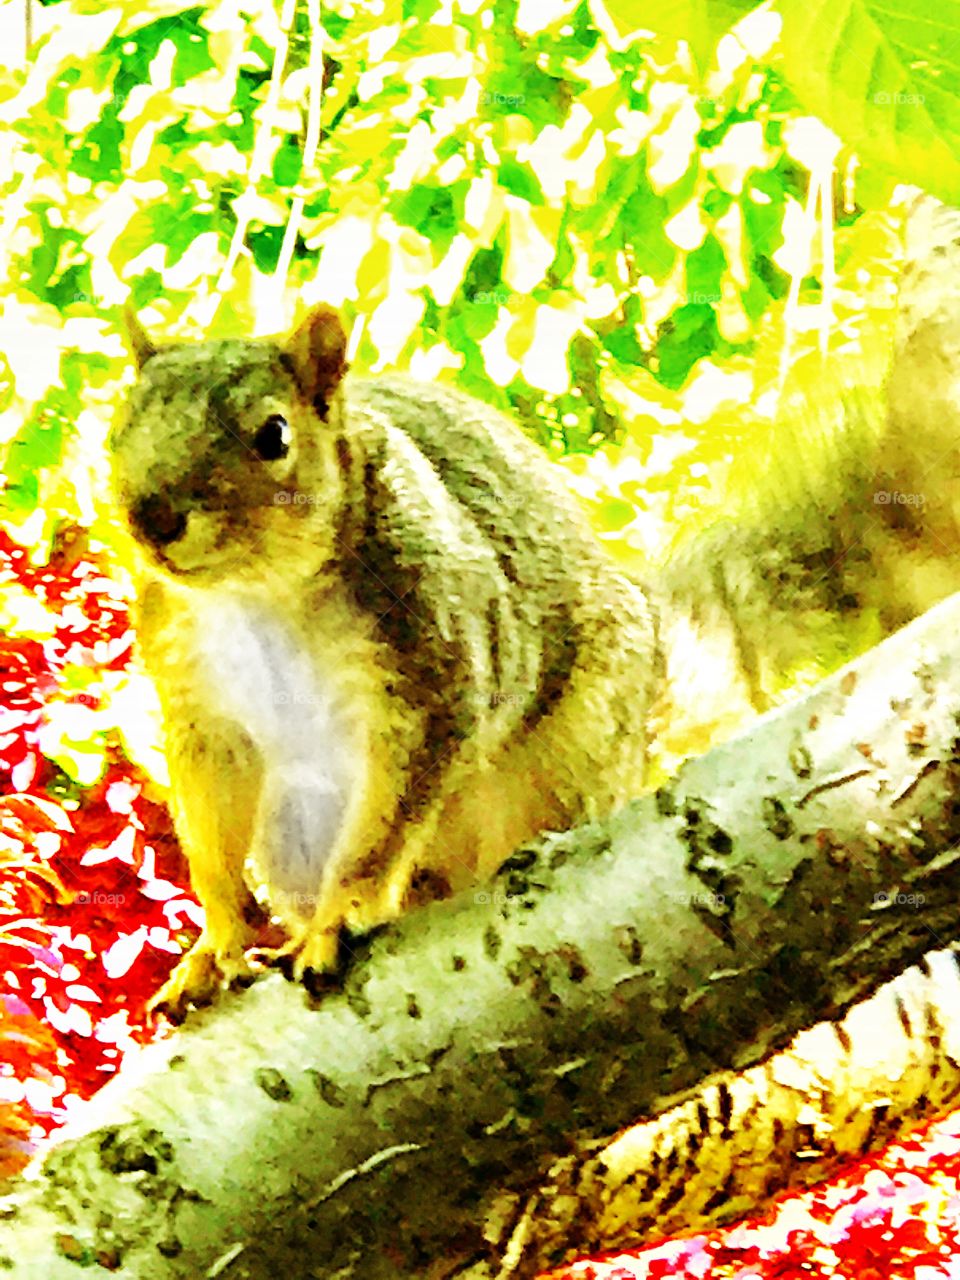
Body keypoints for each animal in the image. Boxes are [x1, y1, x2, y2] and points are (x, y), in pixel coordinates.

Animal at [109, 304, 660, 1019]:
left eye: (274, 435)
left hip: (576, 754)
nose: (151, 517)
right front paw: (213, 948)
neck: (258, 591)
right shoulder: (198, 707)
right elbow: (211, 837)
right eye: (119, 425)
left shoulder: (434, 672)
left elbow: (384, 826)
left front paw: (337, 920)